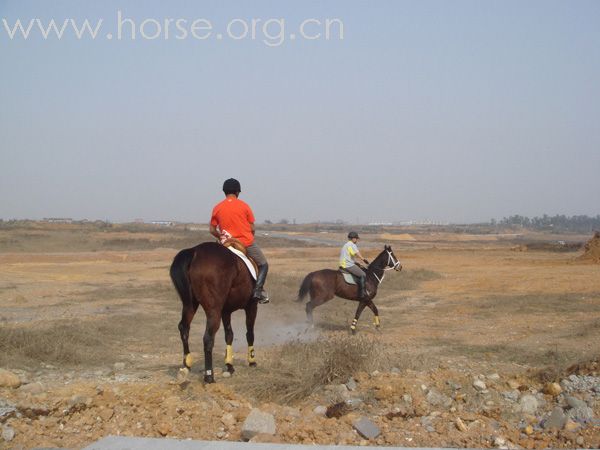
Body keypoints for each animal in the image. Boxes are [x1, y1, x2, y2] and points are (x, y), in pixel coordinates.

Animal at [169, 243, 258, 384]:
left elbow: (229, 335)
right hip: (213, 311)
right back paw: (209, 376)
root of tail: (194, 252)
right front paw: (252, 361)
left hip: (190, 305)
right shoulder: (252, 306)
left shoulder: (226, 311)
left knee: (184, 328)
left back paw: (186, 365)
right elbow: (250, 334)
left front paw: (229, 366)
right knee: (208, 337)